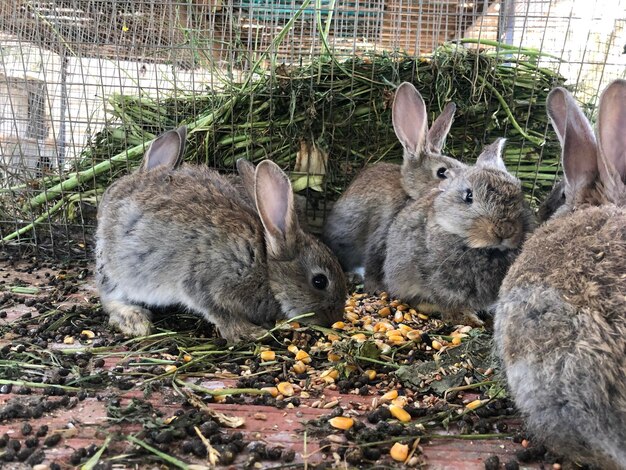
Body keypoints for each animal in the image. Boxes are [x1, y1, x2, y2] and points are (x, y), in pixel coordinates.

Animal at [96, 126, 346, 344]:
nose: (335, 318)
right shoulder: (204, 281)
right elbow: (218, 312)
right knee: (109, 297)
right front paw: (249, 332)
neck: (265, 265)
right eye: (320, 281)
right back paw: (135, 319)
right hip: (120, 272)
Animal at [380, 138, 532, 324]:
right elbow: (452, 305)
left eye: (520, 194)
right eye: (468, 196)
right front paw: (470, 320)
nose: (505, 230)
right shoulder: (444, 284)